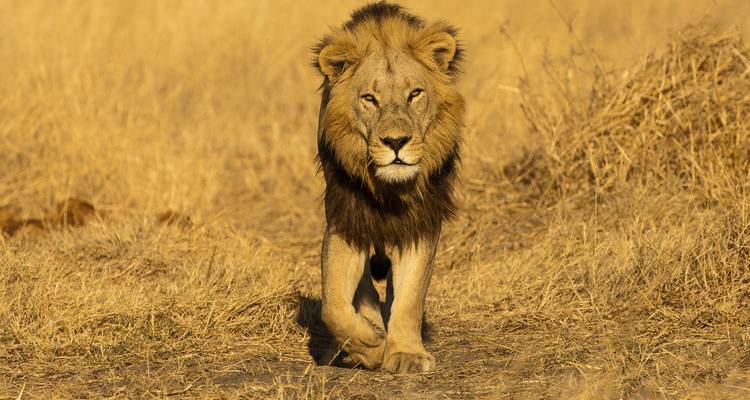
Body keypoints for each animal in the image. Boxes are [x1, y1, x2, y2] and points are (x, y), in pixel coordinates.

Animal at [313, 2, 464, 374]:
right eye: (370, 98)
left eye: (414, 94)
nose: (396, 142)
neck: (389, 189)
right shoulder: (345, 218)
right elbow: (333, 306)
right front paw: (368, 345)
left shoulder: (421, 221)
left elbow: (410, 296)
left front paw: (406, 353)